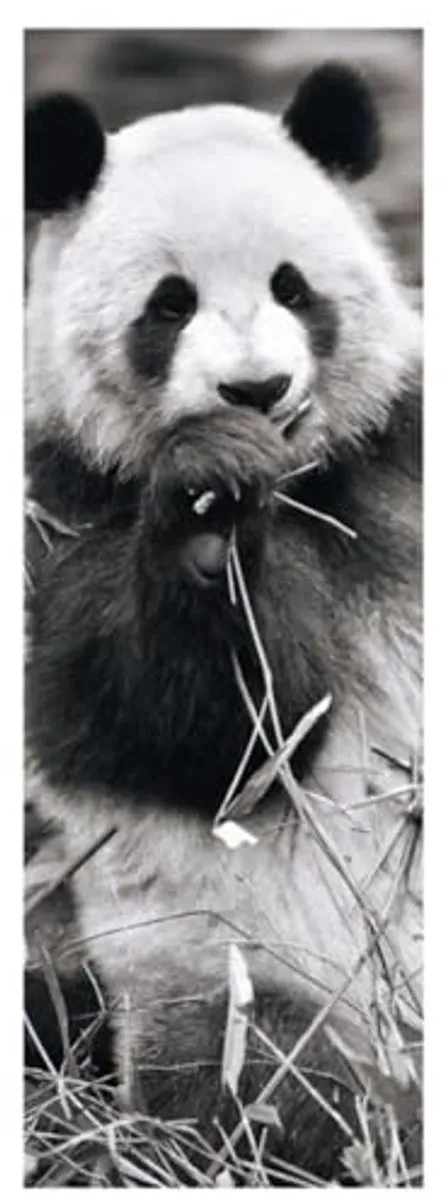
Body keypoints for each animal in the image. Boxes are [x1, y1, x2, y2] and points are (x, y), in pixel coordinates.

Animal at [25, 63, 422, 1184]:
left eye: (293, 287)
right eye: (170, 305)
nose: (255, 390)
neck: (300, 481)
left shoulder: (401, 454)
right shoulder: (61, 507)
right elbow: (190, 736)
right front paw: (209, 516)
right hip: (225, 967)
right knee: (265, 1083)